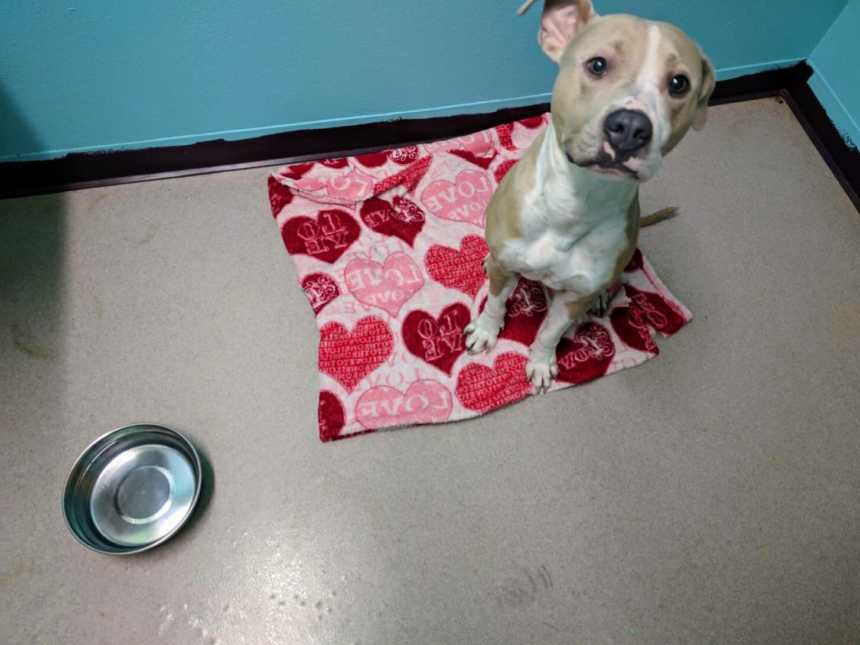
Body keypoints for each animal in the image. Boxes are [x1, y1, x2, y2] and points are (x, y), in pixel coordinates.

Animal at [466, 0, 716, 390]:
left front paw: (541, 362)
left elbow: (550, 332)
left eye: (679, 83)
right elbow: (495, 303)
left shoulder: (572, 299)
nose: (630, 128)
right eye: (597, 65)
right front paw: (485, 332)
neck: (574, 203)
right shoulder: (505, 267)